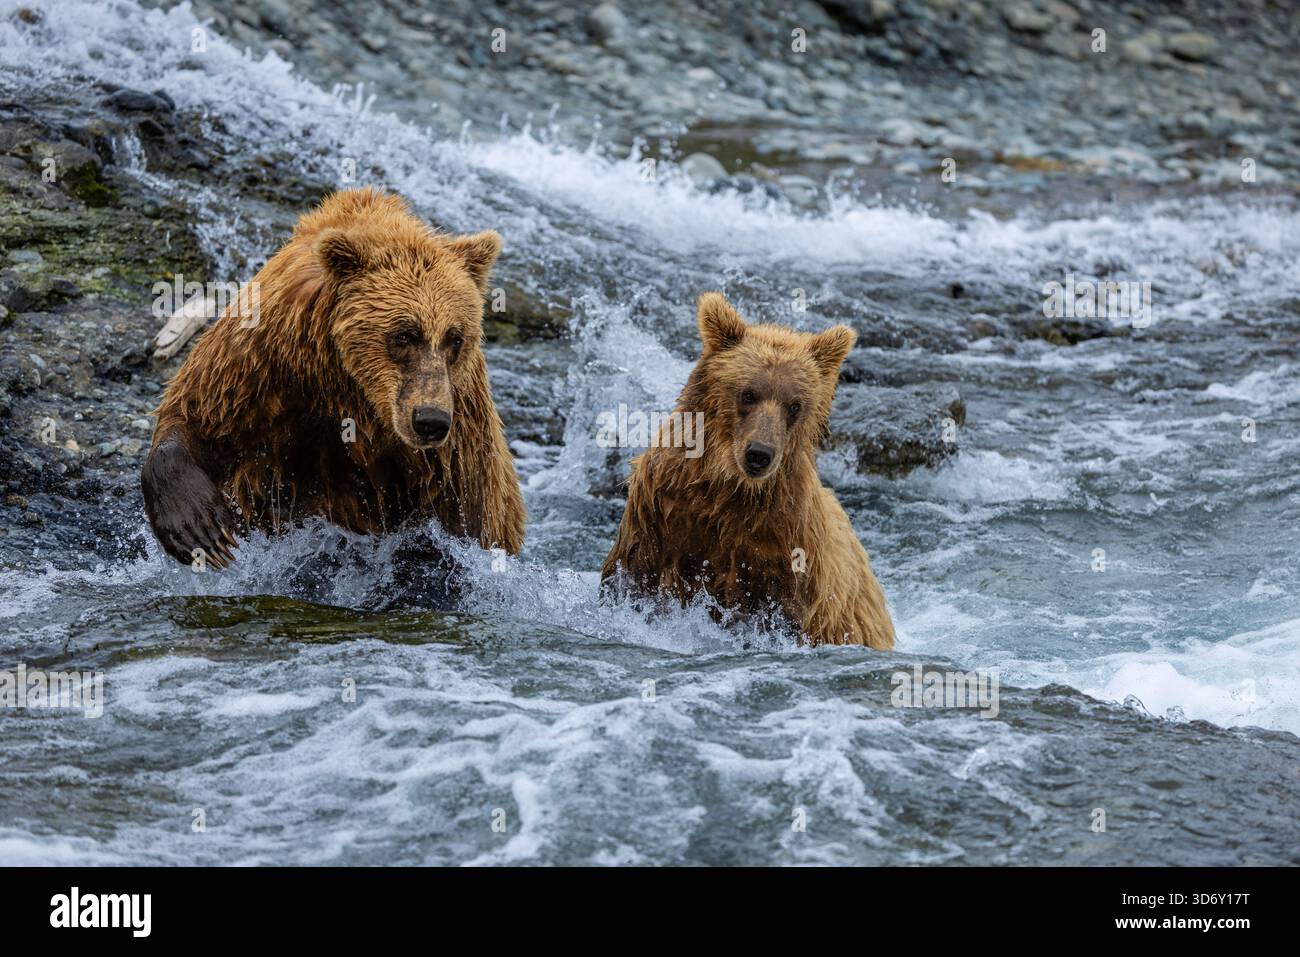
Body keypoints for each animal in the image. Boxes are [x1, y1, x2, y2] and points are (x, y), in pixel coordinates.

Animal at [142, 187, 525, 570]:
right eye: (404, 335)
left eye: (455, 338)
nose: (430, 420)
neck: (351, 386)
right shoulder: (266, 361)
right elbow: (199, 413)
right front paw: (201, 530)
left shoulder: (459, 429)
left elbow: (471, 516)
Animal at [601, 292, 895, 649]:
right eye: (748, 393)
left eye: (794, 404)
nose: (759, 454)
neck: (727, 488)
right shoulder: (659, 513)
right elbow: (632, 575)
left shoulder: (781, 545)